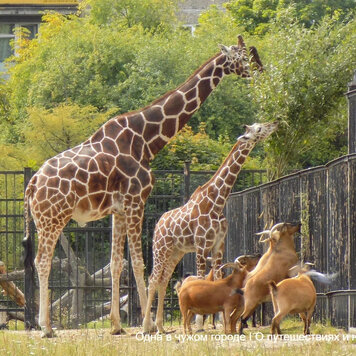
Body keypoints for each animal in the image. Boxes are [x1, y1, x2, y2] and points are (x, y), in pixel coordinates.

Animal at [22, 34, 262, 338]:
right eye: (243, 58)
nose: (260, 70)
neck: (145, 140)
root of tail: (32, 184)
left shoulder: (118, 209)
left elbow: (116, 264)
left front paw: (116, 325)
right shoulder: (137, 200)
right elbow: (139, 262)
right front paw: (147, 324)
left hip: (44, 220)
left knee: (40, 261)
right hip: (53, 218)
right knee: (42, 261)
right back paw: (46, 327)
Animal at [142, 120, 278, 334]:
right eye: (258, 129)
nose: (275, 123)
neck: (217, 202)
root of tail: (158, 225)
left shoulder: (218, 245)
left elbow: (218, 277)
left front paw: (221, 320)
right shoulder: (201, 245)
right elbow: (201, 278)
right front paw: (199, 323)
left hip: (176, 252)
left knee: (163, 280)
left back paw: (161, 326)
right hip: (160, 249)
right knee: (153, 279)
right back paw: (146, 325)